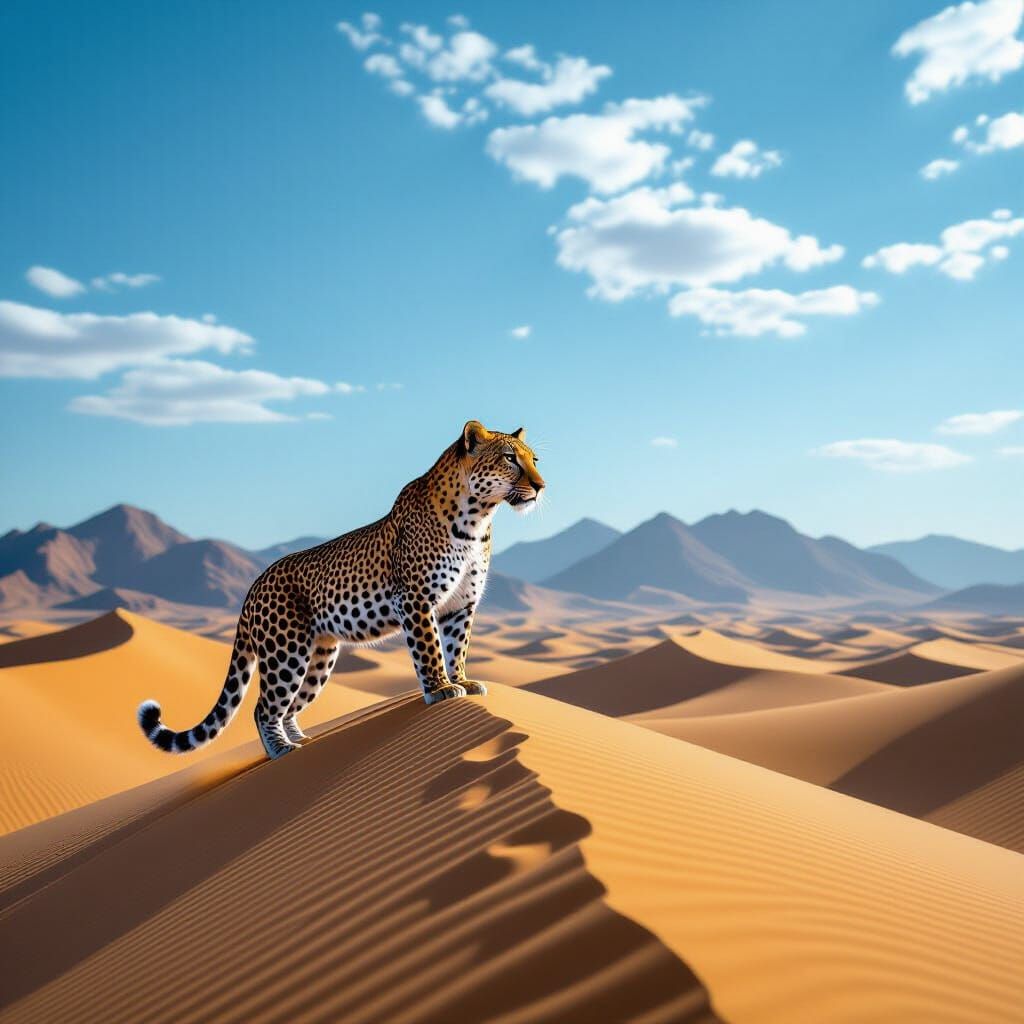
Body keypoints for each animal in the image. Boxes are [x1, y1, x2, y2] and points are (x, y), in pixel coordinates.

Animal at [138, 420, 545, 759]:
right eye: (510, 459)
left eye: (534, 459)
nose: (541, 487)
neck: (477, 519)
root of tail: (253, 585)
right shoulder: (415, 599)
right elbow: (429, 649)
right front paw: (441, 689)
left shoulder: (460, 604)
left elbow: (456, 647)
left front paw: (461, 681)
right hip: (285, 652)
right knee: (263, 707)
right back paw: (282, 750)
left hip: (319, 656)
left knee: (291, 705)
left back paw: (301, 740)